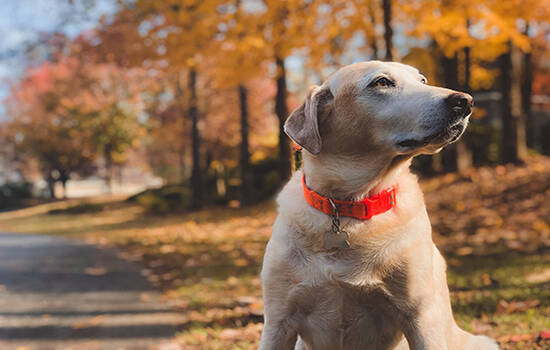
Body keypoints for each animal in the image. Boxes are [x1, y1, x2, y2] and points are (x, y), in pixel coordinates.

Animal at [258, 61, 500, 348]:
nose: (465, 101)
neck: (349, 205)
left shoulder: (421, 316)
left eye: (422, 80)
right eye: (382, 82)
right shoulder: (278, 321)